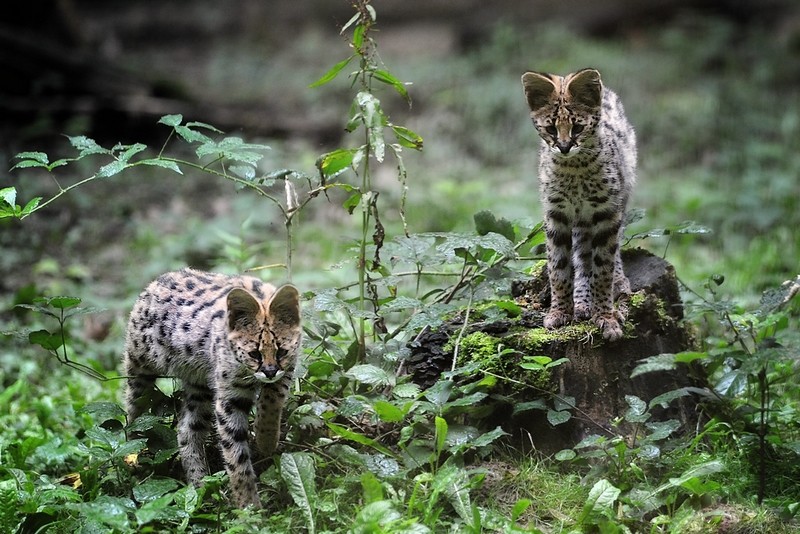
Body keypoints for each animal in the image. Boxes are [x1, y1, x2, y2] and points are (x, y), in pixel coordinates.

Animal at [123, 270, 302, 508]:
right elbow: (235, 454)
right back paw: (132, 453)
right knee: (132, 412)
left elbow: (272, 402)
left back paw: (199, 487)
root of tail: (155, 282)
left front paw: (266, 440)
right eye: (254, 354)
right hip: (139, 367)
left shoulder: (287, 370)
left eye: (281, 351)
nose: (270, 372)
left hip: (199, 386)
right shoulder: (229, 397)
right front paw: (248, 507)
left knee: (186, 429)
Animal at [524, 69, 636, 342]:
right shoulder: (556, 214)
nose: (564, 147)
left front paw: (606, 316)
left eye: (578, 127)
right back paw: (582, 303)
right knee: (583, 256)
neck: (574, 168)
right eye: (550, 129)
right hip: (582, 222)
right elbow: (558, 267)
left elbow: (604, 267)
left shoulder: (607, 212)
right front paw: (560, 312)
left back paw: (615, 286)